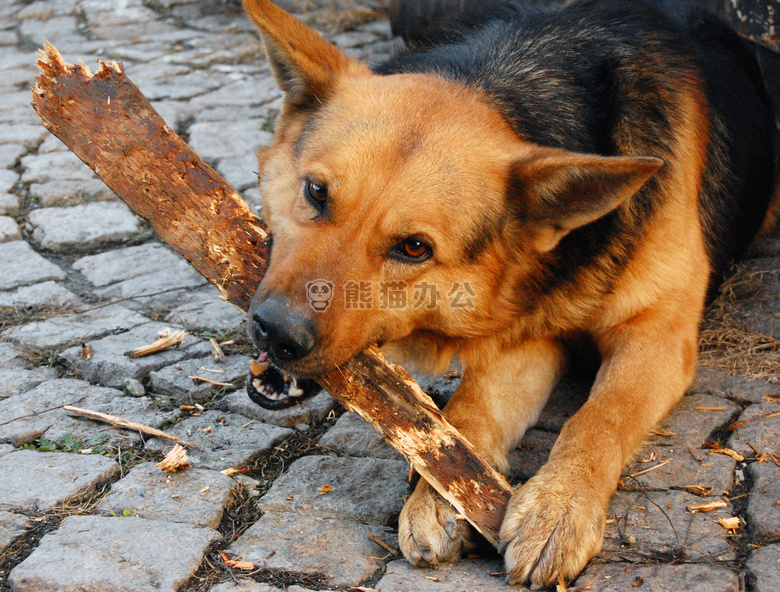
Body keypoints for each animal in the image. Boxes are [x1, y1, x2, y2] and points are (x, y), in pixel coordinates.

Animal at [242, 0, 772, 584]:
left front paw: (559, 506)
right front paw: (440, 495)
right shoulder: (526, 338)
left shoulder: (657, 335)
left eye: (414, 248)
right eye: (316, 192)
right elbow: (470, 411)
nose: (276, 332)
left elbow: (601, 416)